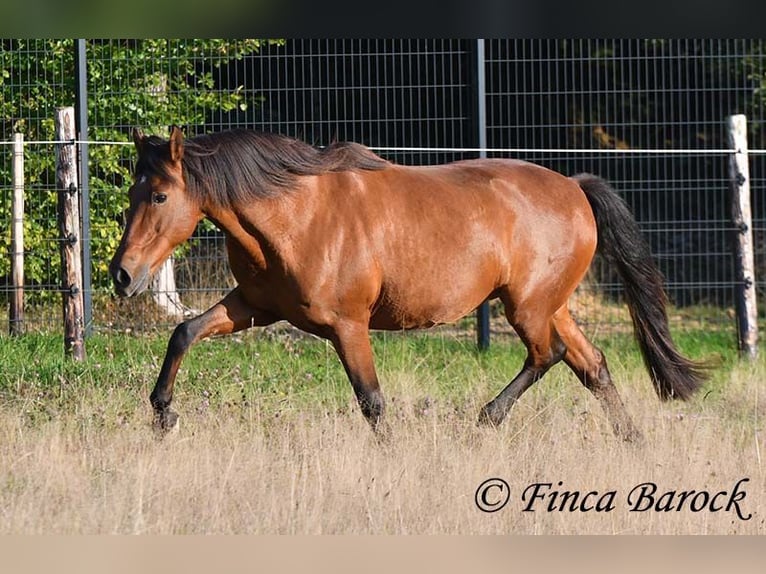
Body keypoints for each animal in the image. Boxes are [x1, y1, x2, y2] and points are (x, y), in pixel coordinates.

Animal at [109, 126, 706, 442]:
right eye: (133, 192)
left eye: (158, 195)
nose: (122, 274)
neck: (297, 214)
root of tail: (576, 187)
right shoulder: (253, 306)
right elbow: (185, 332)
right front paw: (163, 413)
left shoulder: (348, 326)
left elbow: (371, 401)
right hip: (550, 304)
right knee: (592, 365)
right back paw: (632, 443)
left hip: (527, 307)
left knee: (549, 355)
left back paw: (487, 419)